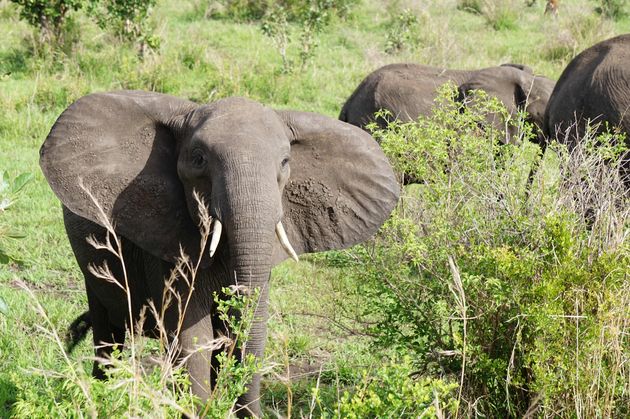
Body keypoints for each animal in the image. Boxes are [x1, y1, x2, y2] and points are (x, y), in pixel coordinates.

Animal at [39, 91, 400, 416]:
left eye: (285, 163)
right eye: (199, 159)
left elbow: (244, 329)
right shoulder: (166, 243)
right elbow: (192, 338)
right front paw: (198, 408)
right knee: (108, 335)